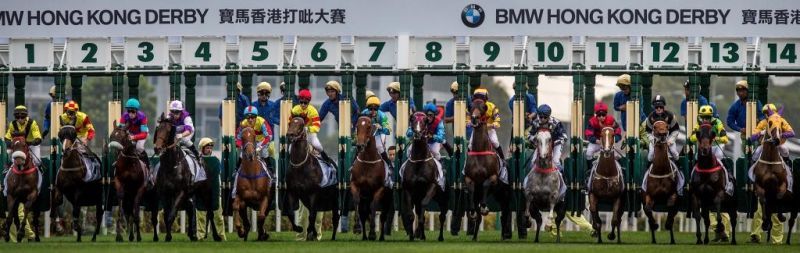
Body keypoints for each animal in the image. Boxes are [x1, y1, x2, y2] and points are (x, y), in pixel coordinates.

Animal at [404, 112, 446, 241]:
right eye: (412, 120)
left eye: (424, 121)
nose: (417, 133)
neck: (419, 160)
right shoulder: (409, 189)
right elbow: (411, 214)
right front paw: (412, 235)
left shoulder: (431, 186)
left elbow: (423, 207)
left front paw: (418, 232)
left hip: (442, 197)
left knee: (442, 216)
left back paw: (440, 237)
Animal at [462, 99, 512, 241]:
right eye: (470, 107)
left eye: (483, 108)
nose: (474, 118)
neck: (480, 150)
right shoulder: (469, 178)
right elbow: (471, 190)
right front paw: (472, 212)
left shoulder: (493, 177)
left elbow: (485, 183)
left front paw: (484, 207)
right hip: (496, 194)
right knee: (481, 215)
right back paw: (474, 236)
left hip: (504, 193)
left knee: (505, 212)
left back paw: (505, 235)